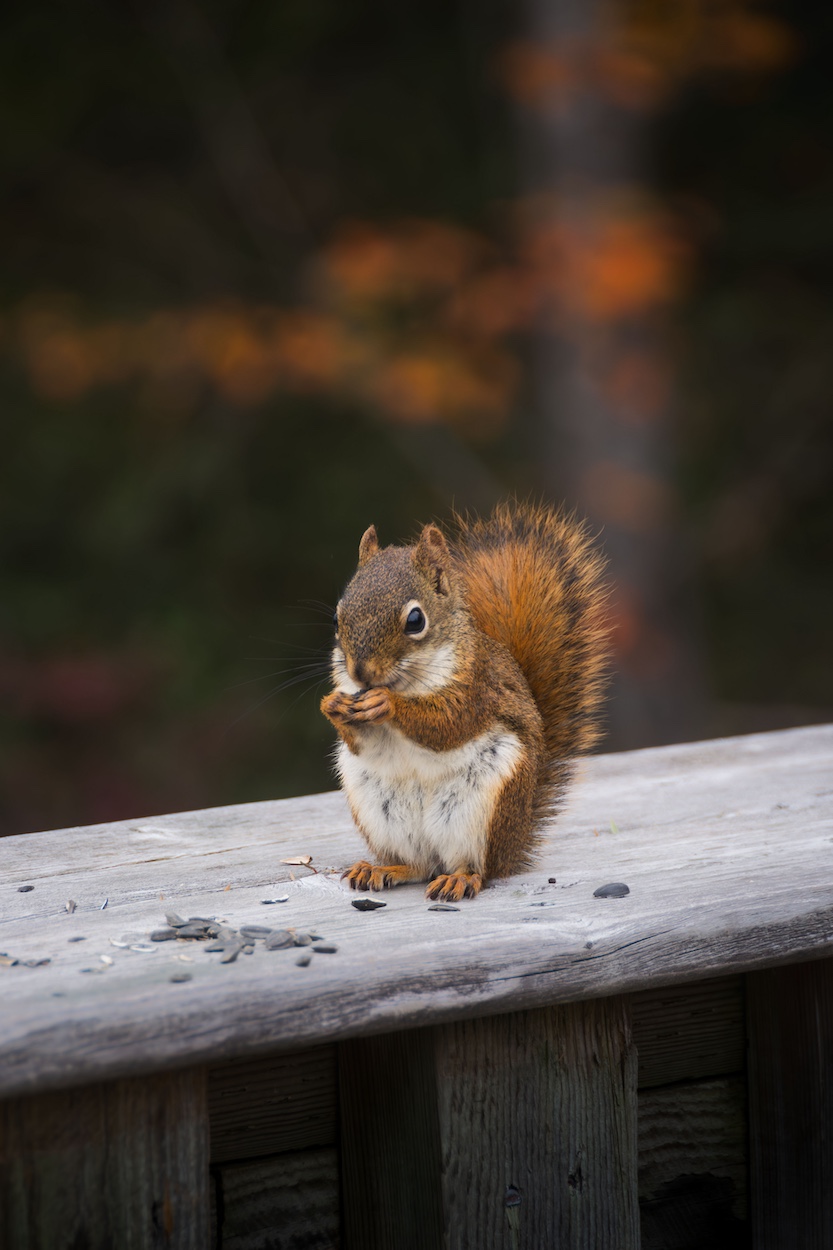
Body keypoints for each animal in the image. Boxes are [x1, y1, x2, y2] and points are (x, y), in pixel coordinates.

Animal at [320, 502, 607, 905]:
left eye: (415, 620)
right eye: (336, 617)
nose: (361, 673)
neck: (409, 681)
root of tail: (513, 845)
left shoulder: (476, 688)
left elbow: (447, 725)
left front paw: (387, 703)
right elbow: (362, 742)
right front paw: (333, 706)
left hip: (481, 811)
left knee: (476, 867)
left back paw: (460, 878)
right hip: (381, 813)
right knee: (416, 865)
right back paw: (381, 868)